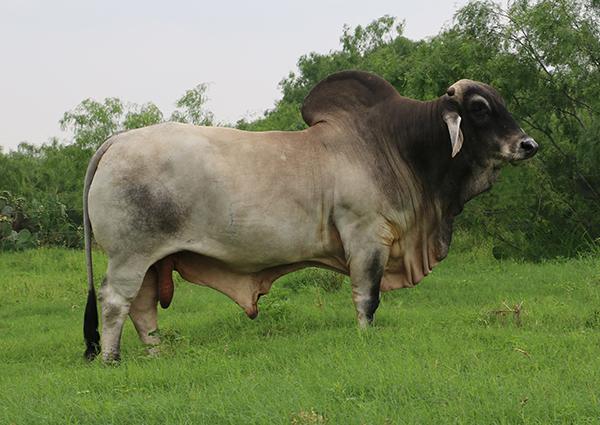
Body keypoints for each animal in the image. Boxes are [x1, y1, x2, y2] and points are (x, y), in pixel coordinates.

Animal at [81, 71, 540, 360]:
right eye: (479, 108)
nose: (528, 144)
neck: (397, 146)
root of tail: (116, 141)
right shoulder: (367, 238)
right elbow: (367, 298)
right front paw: (365, 337)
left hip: (149, 259)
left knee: (142, 308)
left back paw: (156, 353)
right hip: (129, 255)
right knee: (115, 301)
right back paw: (111, 359)